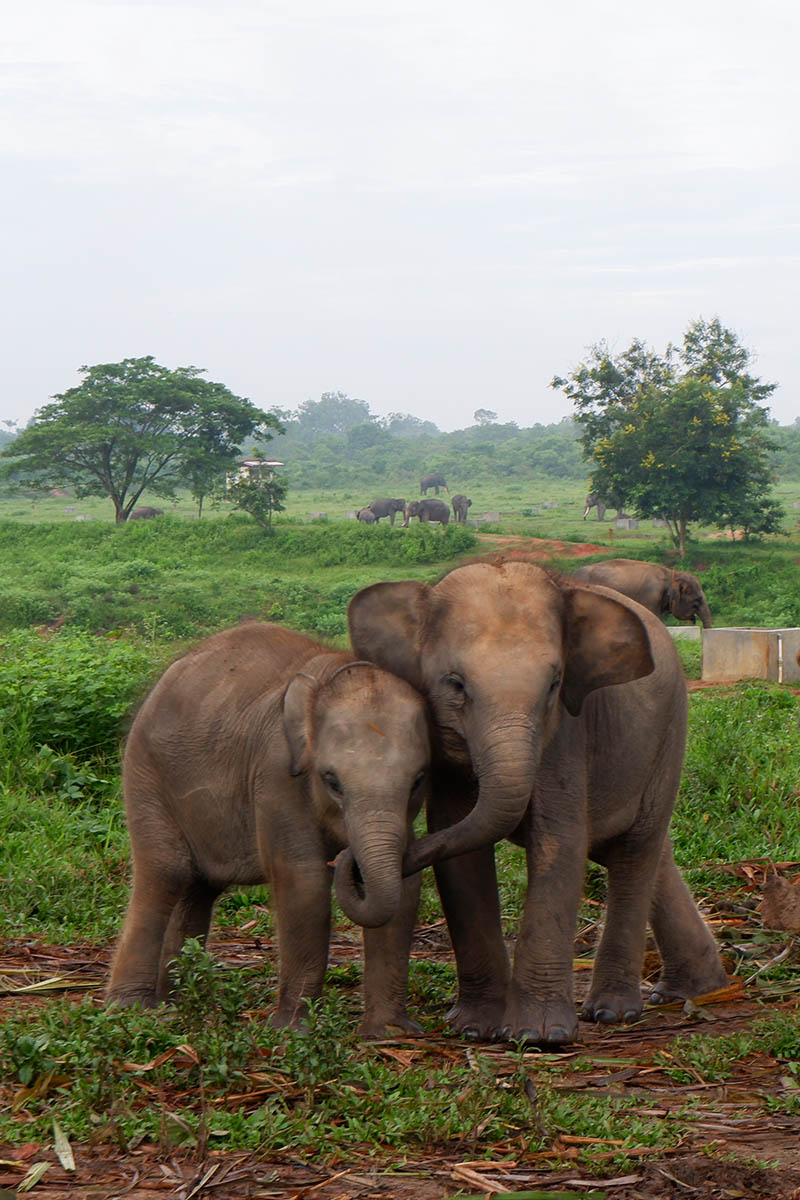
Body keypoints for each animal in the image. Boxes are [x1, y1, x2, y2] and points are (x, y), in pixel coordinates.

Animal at [110, 619, 431, 1032]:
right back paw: (130, 1009)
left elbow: (407, 881)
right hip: (145, 773)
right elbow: (302, 880)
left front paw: (389, 1033)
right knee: (166, 871)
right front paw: (291, 1030)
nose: (348, 860)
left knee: (198, 888)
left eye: (419, 779)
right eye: (331, 781)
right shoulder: (275, 773)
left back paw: (175, 1002)